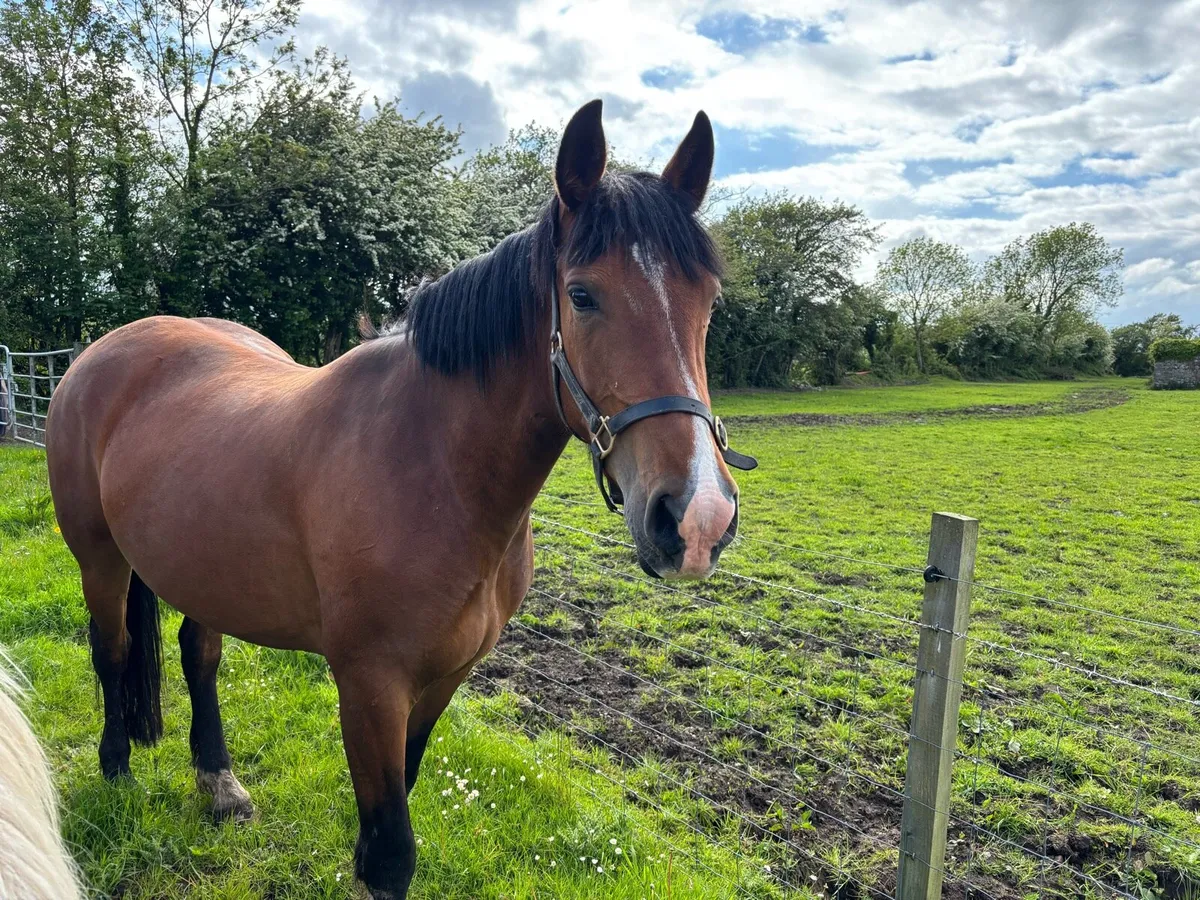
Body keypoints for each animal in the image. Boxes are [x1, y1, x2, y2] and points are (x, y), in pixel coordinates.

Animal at [45, 99, 755, 899]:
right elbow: (390, 853)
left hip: (202, 566)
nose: (697, 518)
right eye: (582, 295)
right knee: (111, 652)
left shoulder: (443, 681)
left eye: (708, 302)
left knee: (199, 655)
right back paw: (117, 771)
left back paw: (217, 781)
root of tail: (100, 353)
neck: (432, 468)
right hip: (99, 559)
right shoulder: (370, 686)